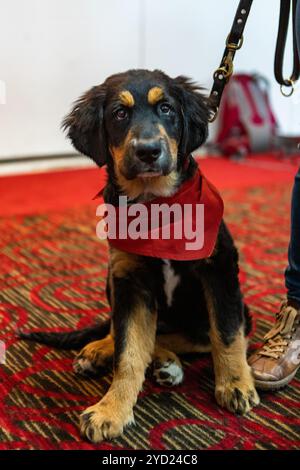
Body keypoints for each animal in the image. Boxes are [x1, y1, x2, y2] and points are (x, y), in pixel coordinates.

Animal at [21, 69, 260, 440]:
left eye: (166, 109)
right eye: (119, 114)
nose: (148, 151)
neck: (156, 207)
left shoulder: (219, 268)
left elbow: (226, 332)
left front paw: (236, 384)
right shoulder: (130, 281)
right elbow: (129, 349)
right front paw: (112, 409)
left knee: (192, 336)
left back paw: (166, 362)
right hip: (112, 277)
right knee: (129, 331)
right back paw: (103, 350)